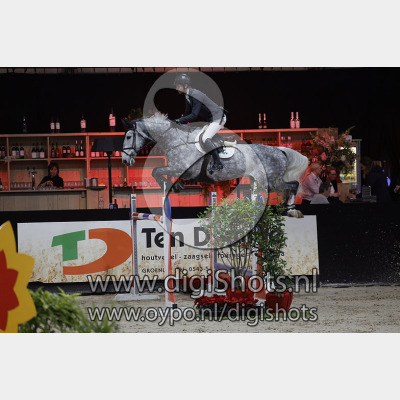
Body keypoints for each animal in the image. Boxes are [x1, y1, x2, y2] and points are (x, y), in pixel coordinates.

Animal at [121, 114, 308, 217]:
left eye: (129, 136)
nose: (125, 160)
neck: (177, 141)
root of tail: (280, 150)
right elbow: (159, 172)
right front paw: (175, 186)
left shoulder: (185, 170)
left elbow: (156, 171)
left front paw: (172, 186)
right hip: (258, 179)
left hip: (272, 180)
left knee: (293, 185)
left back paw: (292, 209)